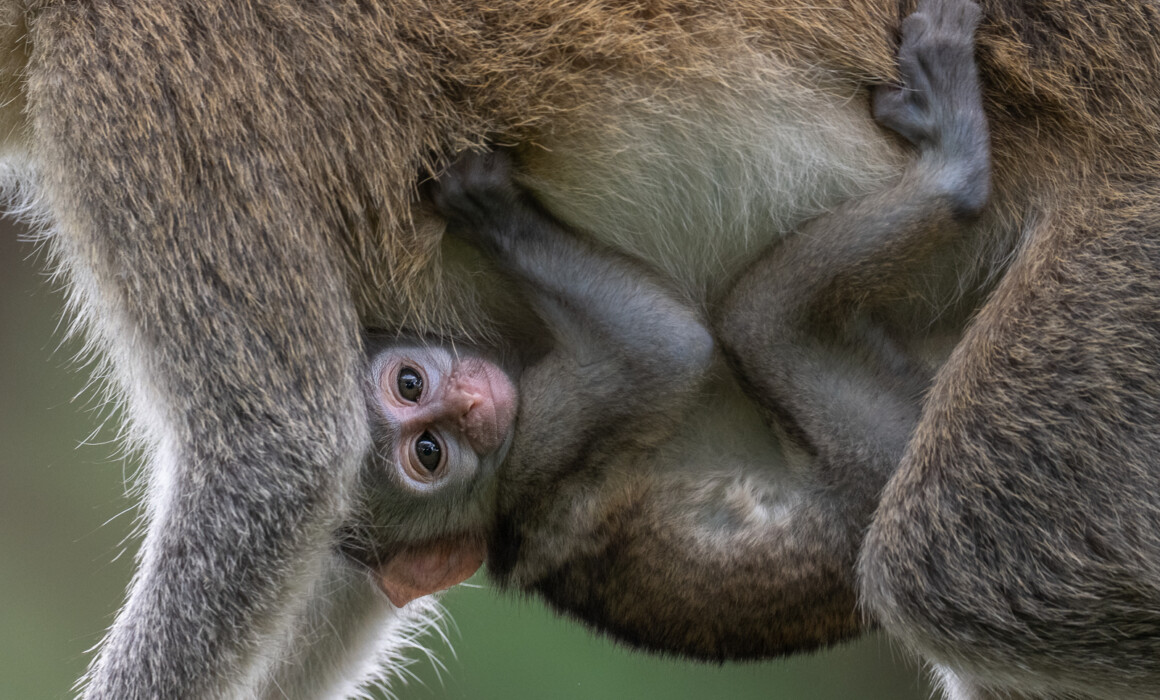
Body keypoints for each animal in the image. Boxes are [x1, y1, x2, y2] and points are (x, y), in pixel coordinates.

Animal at [0, 0, 1157, 698]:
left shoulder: (132, 88)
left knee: (954, 569)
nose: (462, 407)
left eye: (419, 390)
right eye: (421, 434)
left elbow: (275, 456)